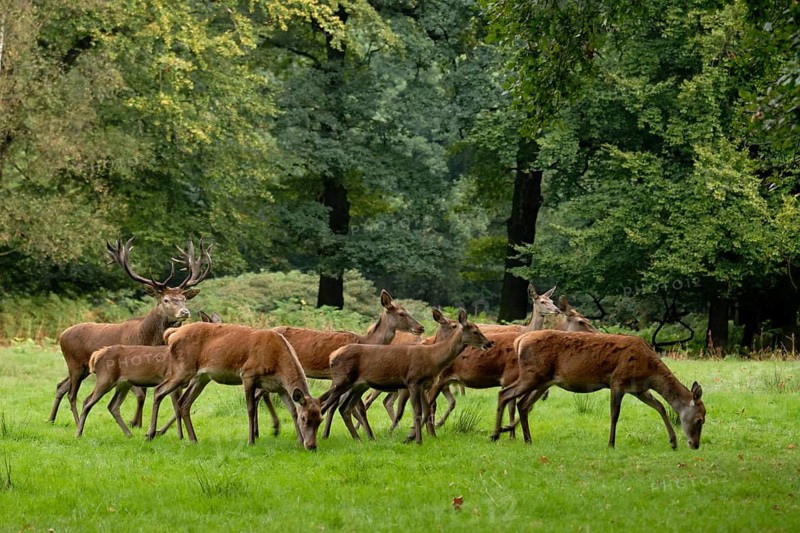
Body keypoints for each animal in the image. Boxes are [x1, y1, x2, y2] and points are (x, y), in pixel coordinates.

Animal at [49, 237, 211, 426]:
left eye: (184, 298)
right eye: (166, 299)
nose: (184, 312)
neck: (146, 338)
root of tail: (61, 335)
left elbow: (145, 394)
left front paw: (138, 423)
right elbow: (140, 395)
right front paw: (134, 423)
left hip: (82, 368)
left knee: (60, 386)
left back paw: (51, 419)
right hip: (74, 363)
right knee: (71, 393)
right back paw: (76, 422)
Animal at [75, 311, 223, 438]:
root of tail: (96, 355)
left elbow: (178, 407)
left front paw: (162, 432)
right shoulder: (173, 381)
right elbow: (176, 407)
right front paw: (176, 435)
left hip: (123, 384)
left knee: (112, 406)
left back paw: (129, 434)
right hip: (105, 379)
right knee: (88, 401)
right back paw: (79, 433)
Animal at [148, 322, 322, 450]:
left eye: (320, 419)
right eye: (304, 418)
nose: (312, 446)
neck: (278, 361)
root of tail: (172, 333)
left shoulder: (279, 387)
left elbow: (292, 409)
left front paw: (299, 440)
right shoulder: (248, 375)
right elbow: (251, 409)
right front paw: (251, 441)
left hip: (201, 377)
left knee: (184, 402)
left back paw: (193, 439)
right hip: (183, 368)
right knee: (159, 390)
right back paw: (150, 434)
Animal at [319, 309, 494, 444]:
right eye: (475, 331)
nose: (489, 343)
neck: (433, 358)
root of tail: (332, 356)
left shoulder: (423, 385)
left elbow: (426, 410)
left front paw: (412, 438)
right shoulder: (413, 381)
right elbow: (417, 411)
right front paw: (417, 440)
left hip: (359, 385)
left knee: (344, 408)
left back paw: (358, 439)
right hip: (342, 380)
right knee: (325, 405)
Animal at [491, 330, 706, 449]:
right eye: (700, 420)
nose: (695, 445)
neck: (649, 371)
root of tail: (519, 341)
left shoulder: (638, 389)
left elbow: (660, 407)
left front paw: (673, 441)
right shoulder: (618, 381)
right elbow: (614, 414)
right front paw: (611, 443)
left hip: (543, 380)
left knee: (523, 404)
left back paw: (527, 439)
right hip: (533, 374)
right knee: (505, 393)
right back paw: (495, 434)